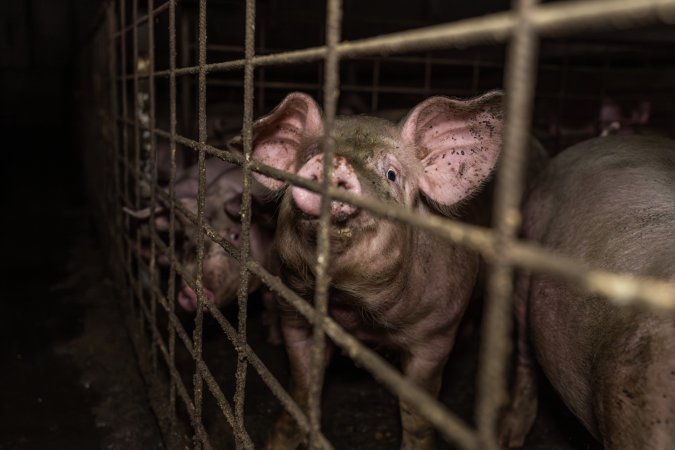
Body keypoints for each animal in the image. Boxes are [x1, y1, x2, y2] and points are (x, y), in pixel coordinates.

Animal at [248, 91, 504, 449]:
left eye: (392, 174)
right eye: (307, 158)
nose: (335, 162)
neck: (353, 310)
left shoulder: (436, 335)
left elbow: (416, 413)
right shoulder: (293, 312)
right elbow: (301, 385)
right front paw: (278, 441)